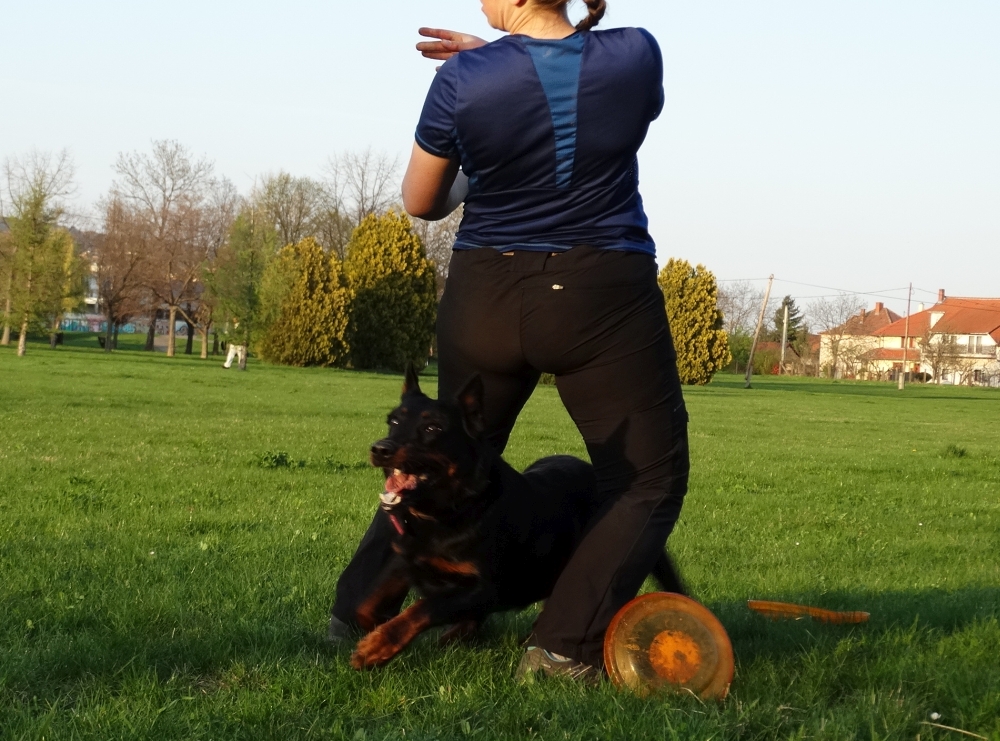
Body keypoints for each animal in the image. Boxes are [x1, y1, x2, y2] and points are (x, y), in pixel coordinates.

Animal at [348, 368, 684, 668]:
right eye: (393, 421)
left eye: (433, 429)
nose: (380, 449)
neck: (450, 509)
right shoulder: (405, 556)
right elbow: (365, 606)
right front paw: (374, 631)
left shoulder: (483, 587)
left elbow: (423, 607)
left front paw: (376, 647)